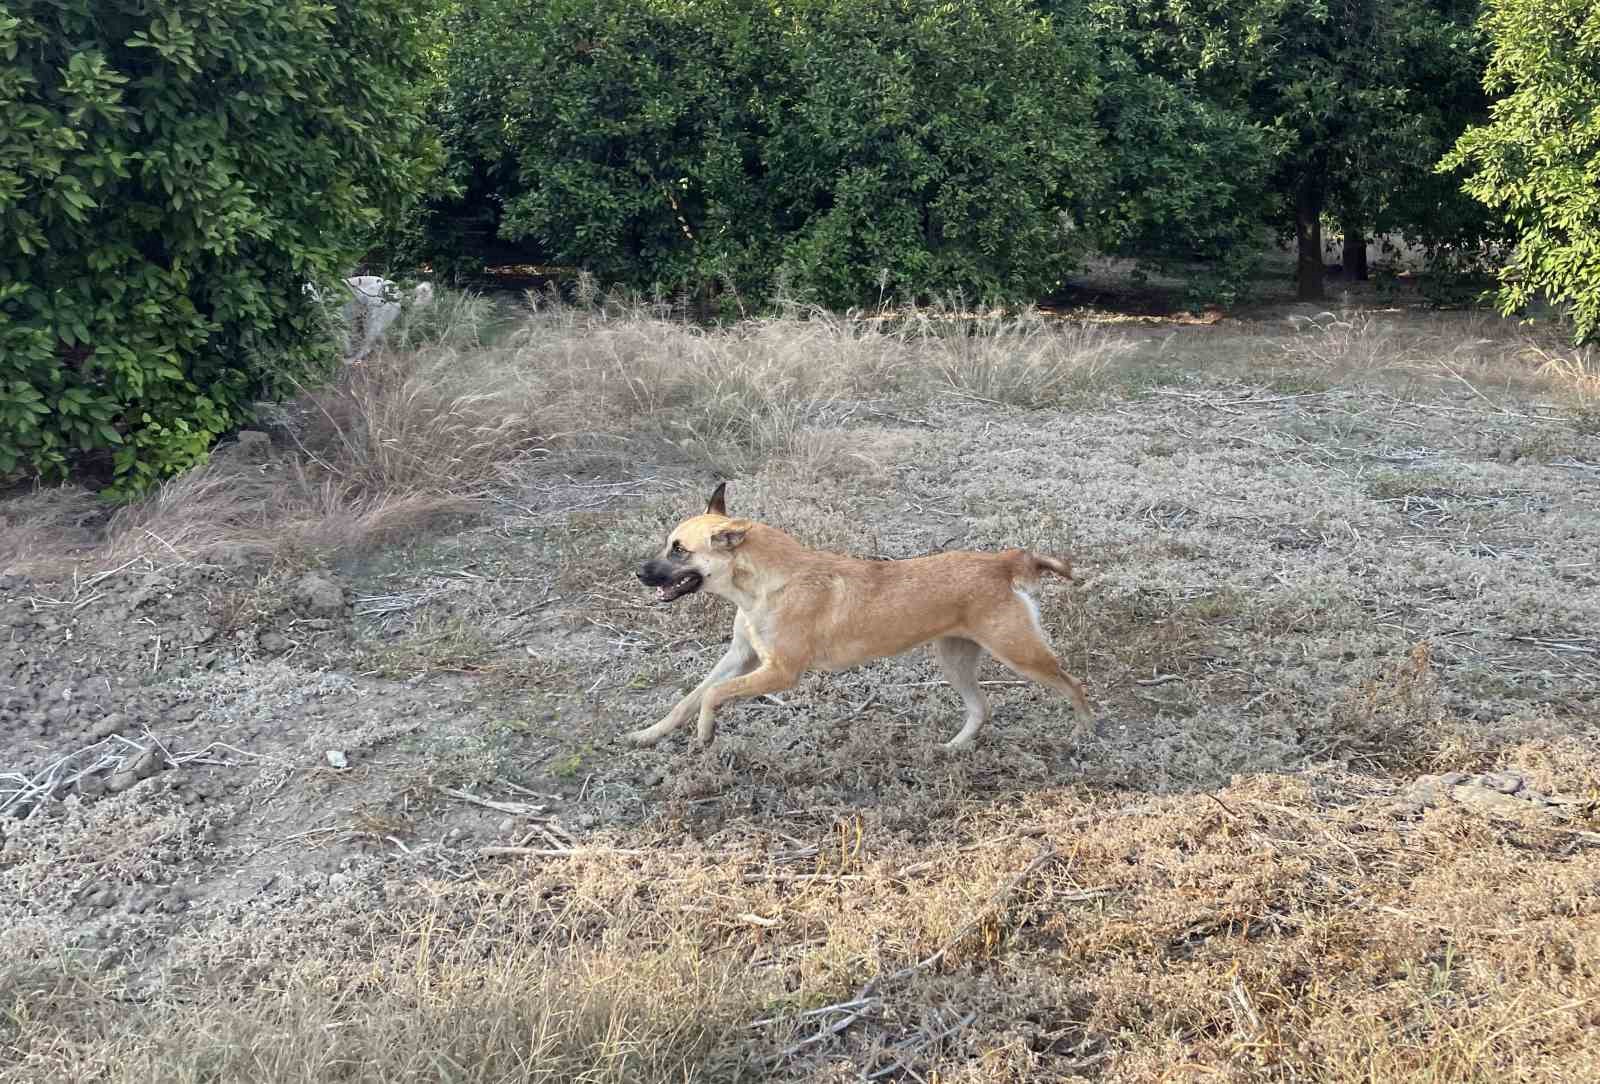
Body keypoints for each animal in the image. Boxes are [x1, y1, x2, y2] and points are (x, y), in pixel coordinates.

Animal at [630, 486, 1094, 751]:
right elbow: (689, 698)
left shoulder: (780, 673)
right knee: (982, 709)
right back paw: (953, 749)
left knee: (1075, 685)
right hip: (955, 660)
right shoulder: (740, 659)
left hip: (1022, 656)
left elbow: (712, 695)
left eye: (678, 550)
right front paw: (650, 734)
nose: (637, 572)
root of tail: (1002, 562)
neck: (765, 584)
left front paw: (705, 733)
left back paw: (1081, 736)